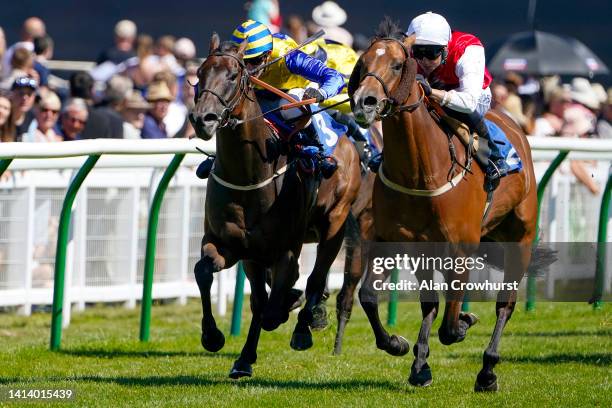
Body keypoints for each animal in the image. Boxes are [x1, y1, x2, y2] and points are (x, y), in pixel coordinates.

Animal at [191, 33, 360, 378]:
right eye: (200, 73)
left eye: (234, 76)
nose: (204, 119)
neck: (248, 176)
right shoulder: (232, 245)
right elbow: (205, 272)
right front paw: (214, 337)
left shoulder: (285, 250)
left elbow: (276, 302)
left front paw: (292, 310)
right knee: (265, 295)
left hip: (334, 225)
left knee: (315, 277)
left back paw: (304, 325)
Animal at [346, 19, 536, 392]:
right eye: (363, 63)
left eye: (397, 64)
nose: (365, 101)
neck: (420, 170)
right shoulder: (395, 240)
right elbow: (371, 297)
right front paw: (399, 345)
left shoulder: (461, 247)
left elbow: (449, 327)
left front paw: (462, 323)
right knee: (430, 306)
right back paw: (421, 363)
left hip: (520, 238)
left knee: (505, 305)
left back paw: (487, 370)